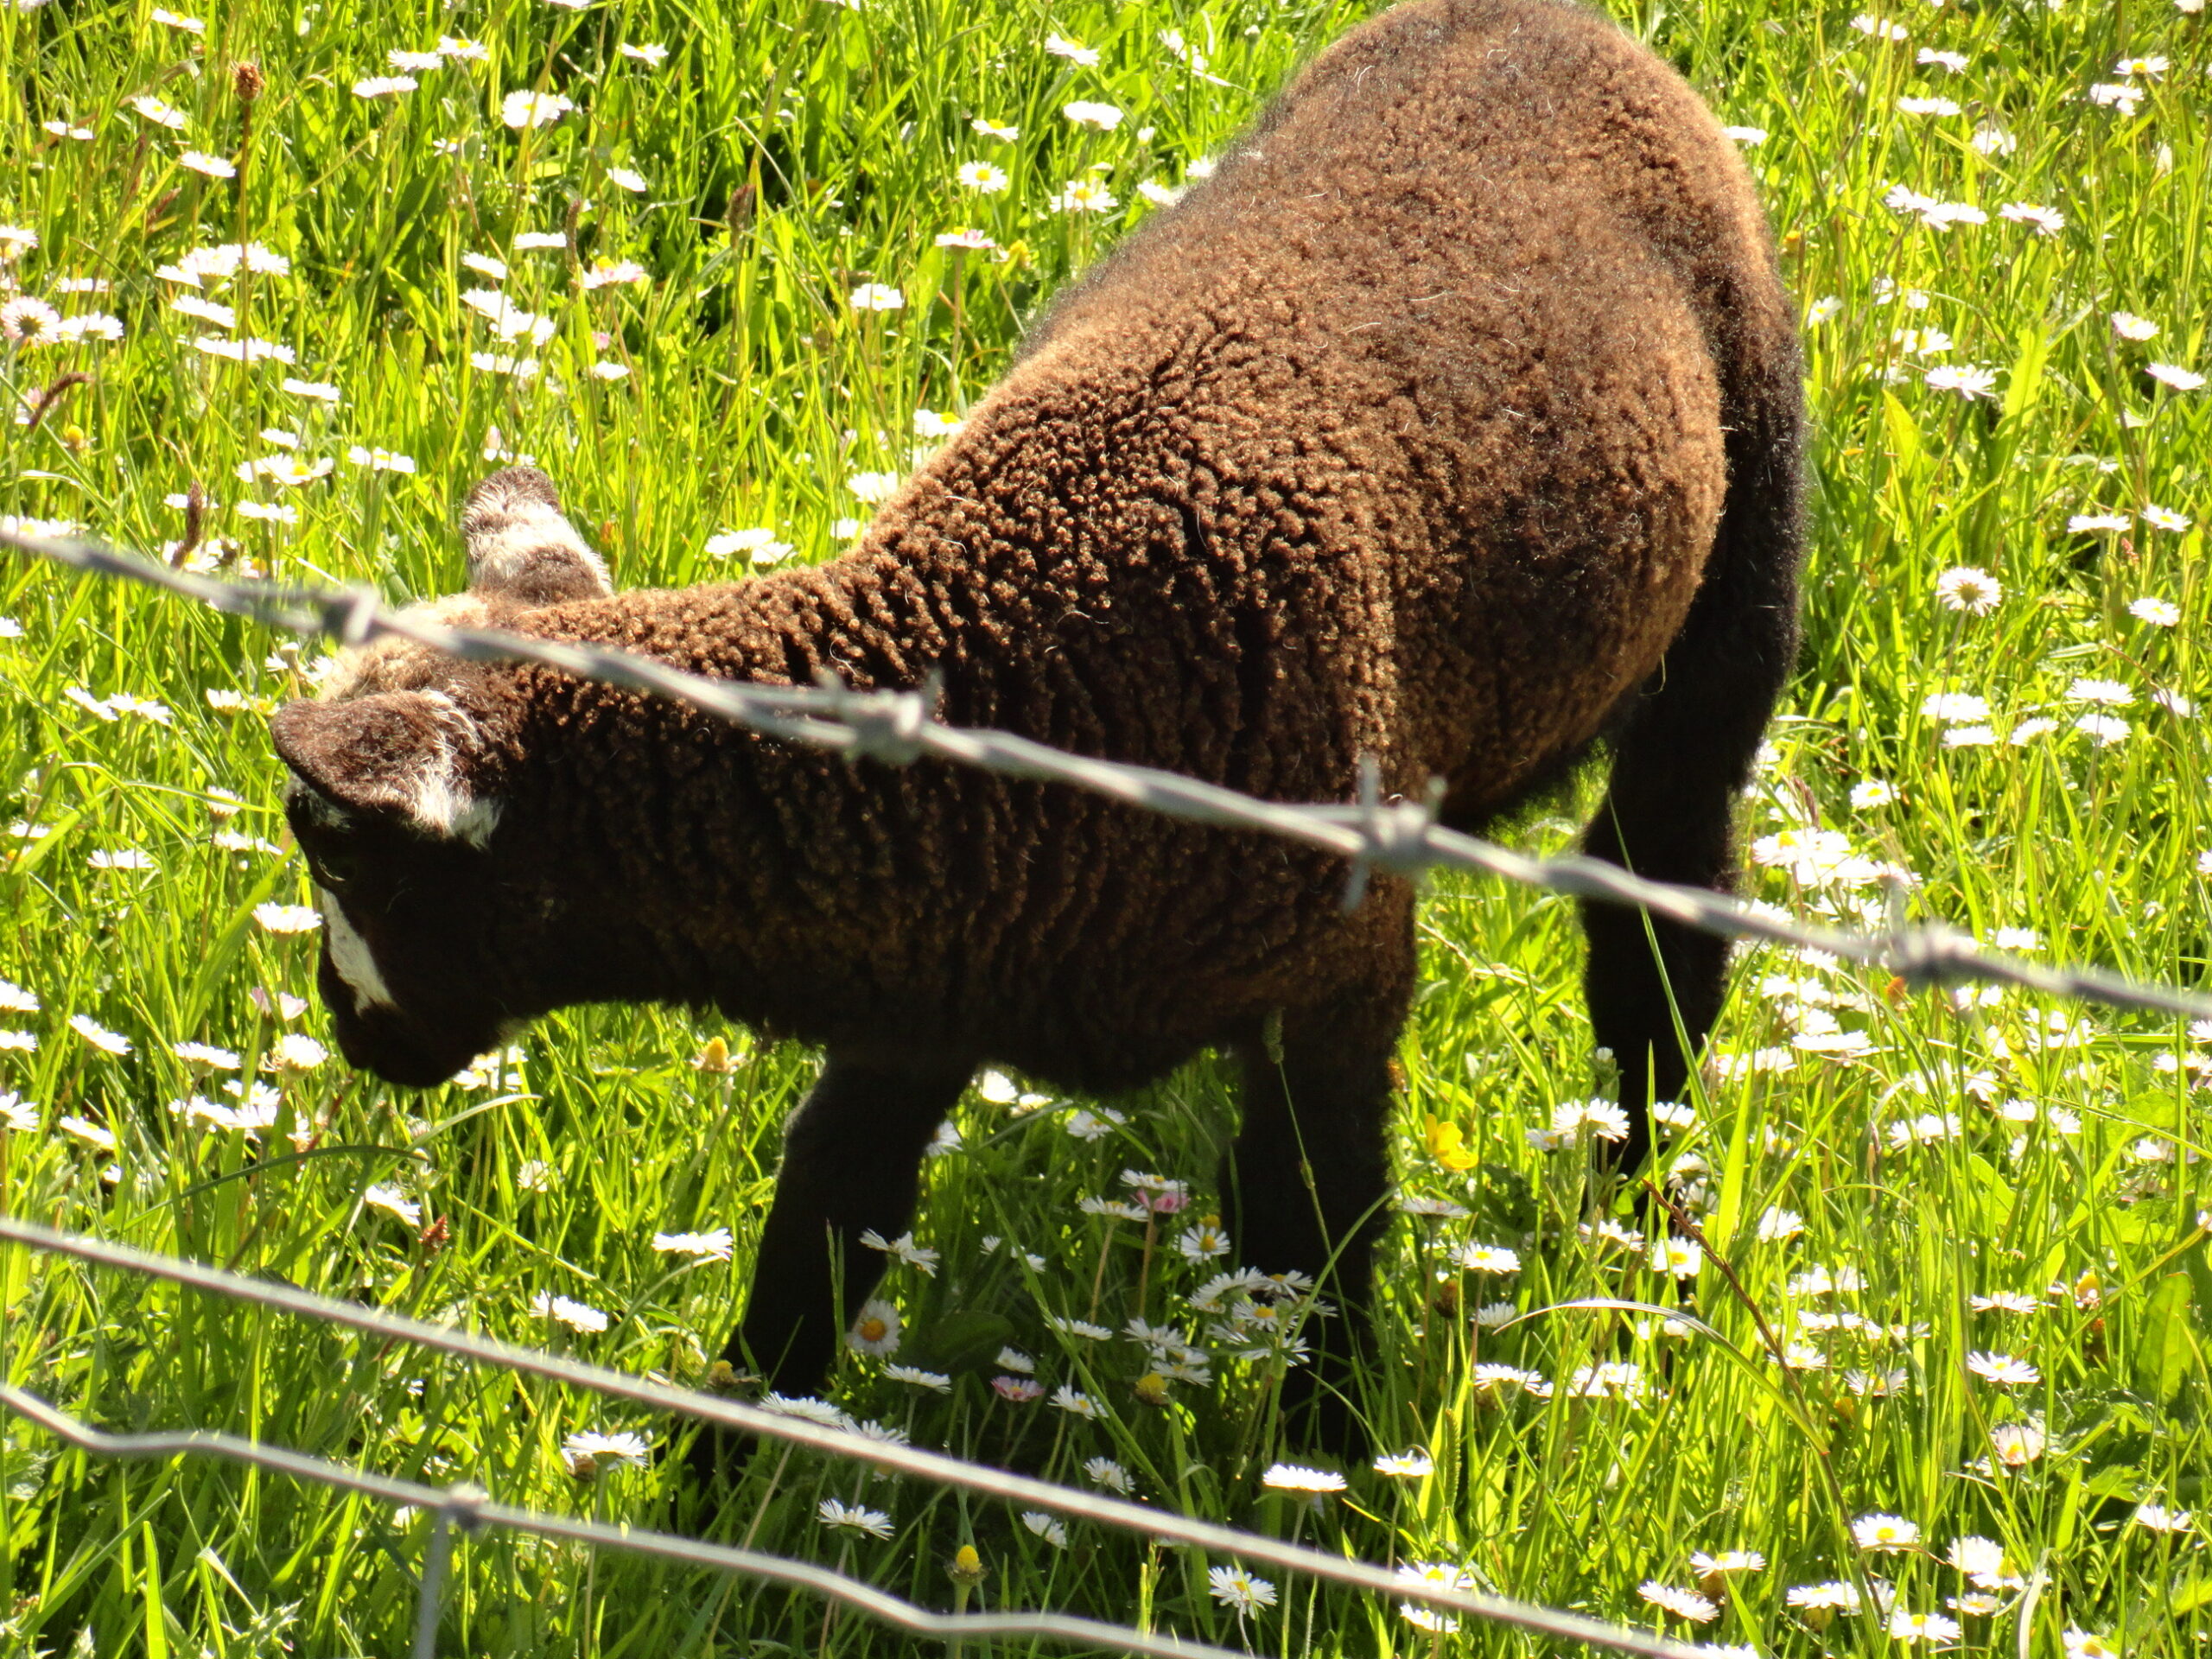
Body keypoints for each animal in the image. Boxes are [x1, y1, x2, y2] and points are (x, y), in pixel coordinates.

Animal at [267, 0, 1804, 1459]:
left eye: (336, 855)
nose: (347, 1028)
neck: (1003, 687)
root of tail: (1554, 23)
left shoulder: (1340, 976)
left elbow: (1327, 1234)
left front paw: (1331, 1478)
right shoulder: (917, 990)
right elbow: (817, 1241)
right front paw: (707, 1495)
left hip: (1743, 561)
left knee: (1658, 906)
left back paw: (1645, 1216)